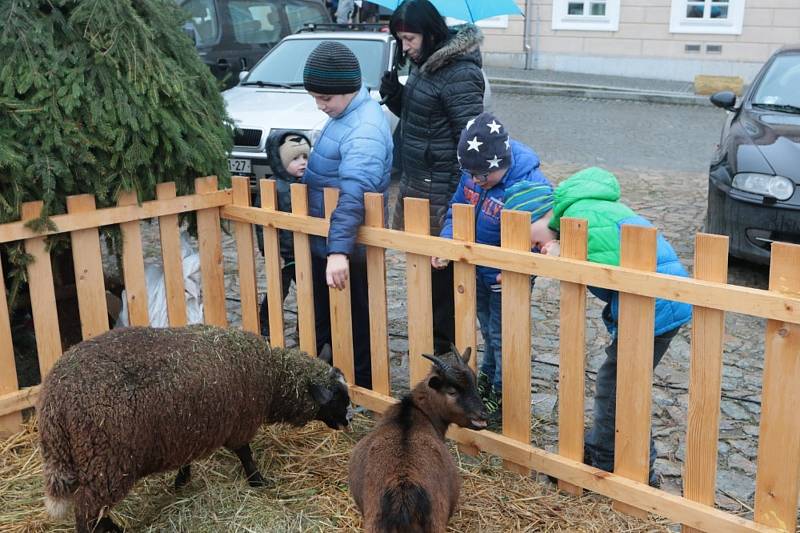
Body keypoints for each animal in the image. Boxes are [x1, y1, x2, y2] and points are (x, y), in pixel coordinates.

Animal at [38, 324, 350, 532]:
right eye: (337, 398)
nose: (348, 422)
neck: (272, 377)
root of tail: (54, 402)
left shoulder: (189, 430)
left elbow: (187, 460)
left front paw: (181, 481)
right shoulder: (239, 423)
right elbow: (245, 453)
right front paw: (258, 480)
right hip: (107, 462)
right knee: (85, 512)